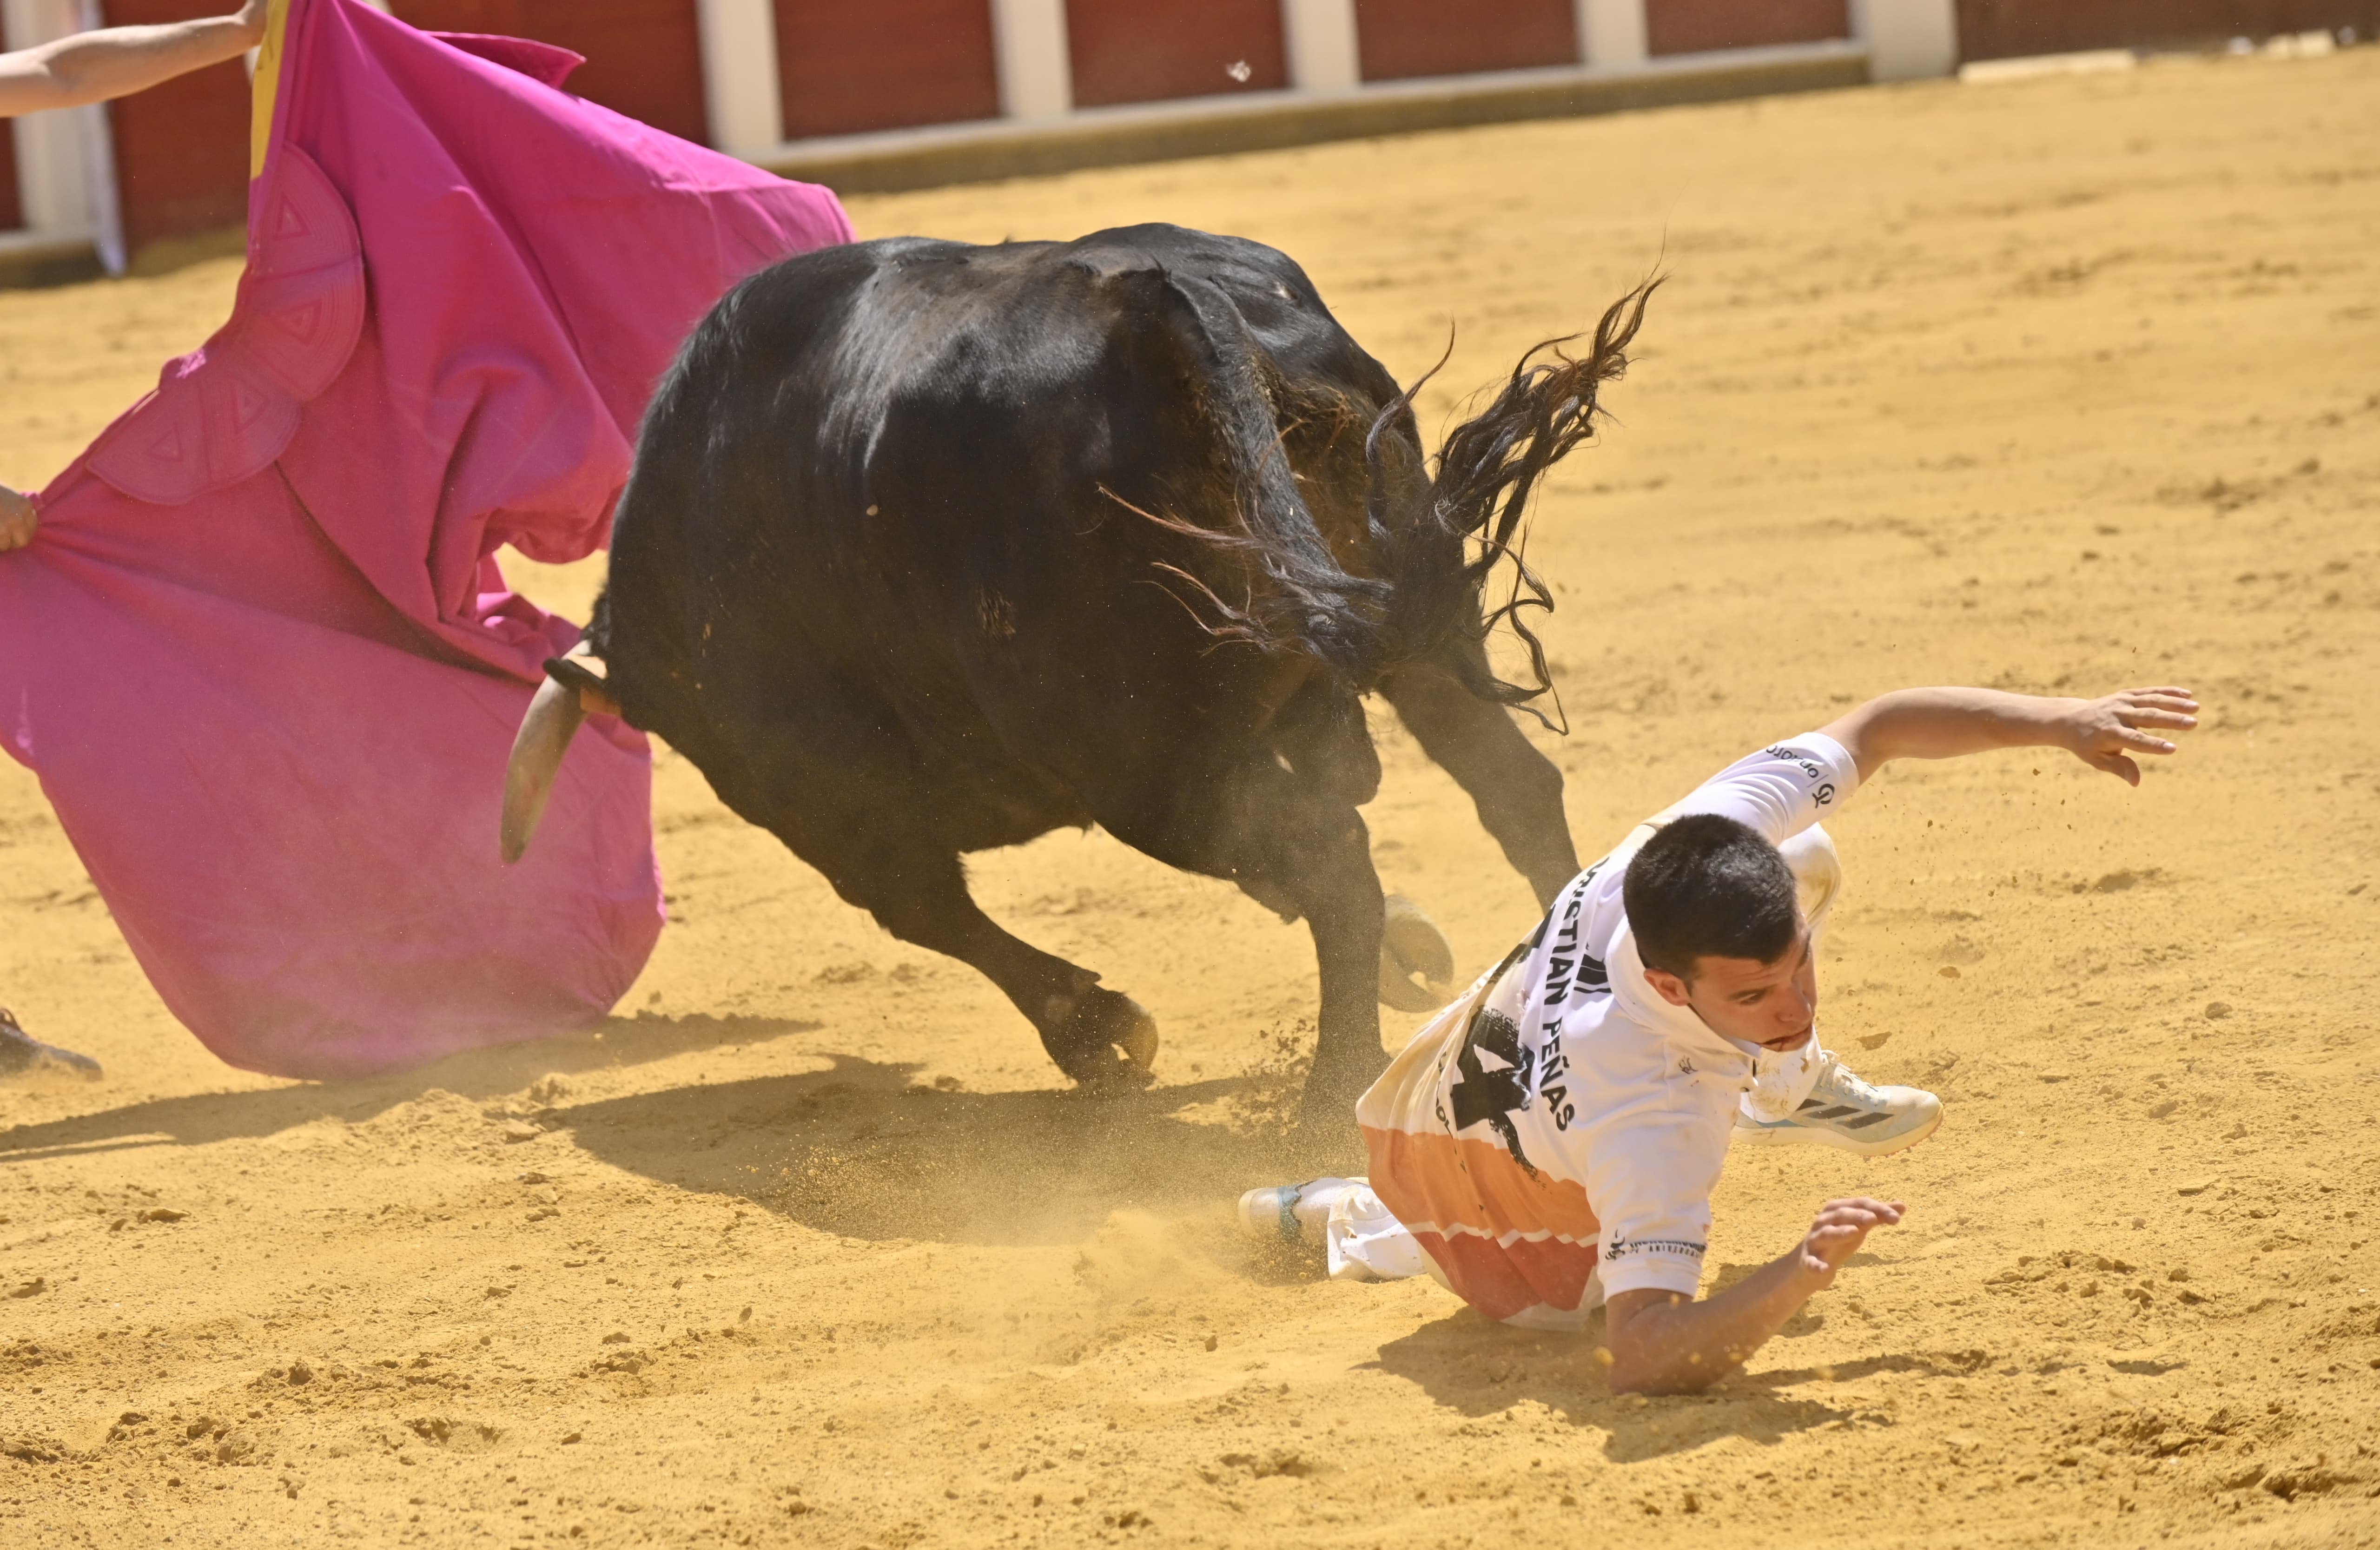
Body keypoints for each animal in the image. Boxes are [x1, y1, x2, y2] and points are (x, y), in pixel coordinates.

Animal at [507, 221, 1656, 1114]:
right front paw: (1414, 954)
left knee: (1332, 855)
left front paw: (1097, 1034)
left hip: (1139, 762)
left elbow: (927, 908)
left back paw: (1330, 1094)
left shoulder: (833, 803)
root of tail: (1157, 305)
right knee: (1503, 784)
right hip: (1414, 614)